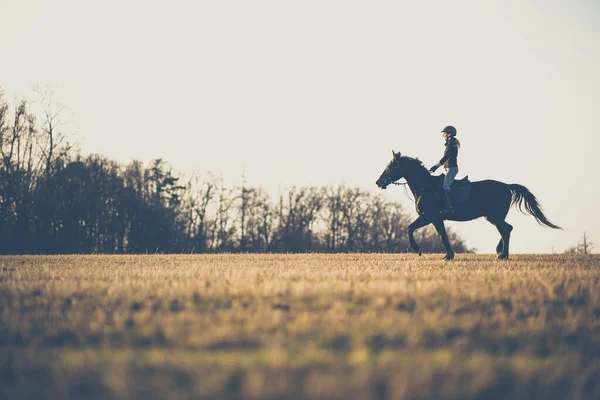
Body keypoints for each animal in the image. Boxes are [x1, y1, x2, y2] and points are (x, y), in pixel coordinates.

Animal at [376, 150, 564, 260]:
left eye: (391, 166)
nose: (379, 182)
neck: (425, 186)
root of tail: (506, 186)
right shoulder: (436, 218)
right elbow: (443, 236)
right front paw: (449, 255)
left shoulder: (428, 216)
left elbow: (410, 228)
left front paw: (418, 249)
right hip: (492, 217)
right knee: (507, 229)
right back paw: (500, 253)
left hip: (495, 217)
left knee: (505, 230)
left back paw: (502, 255)